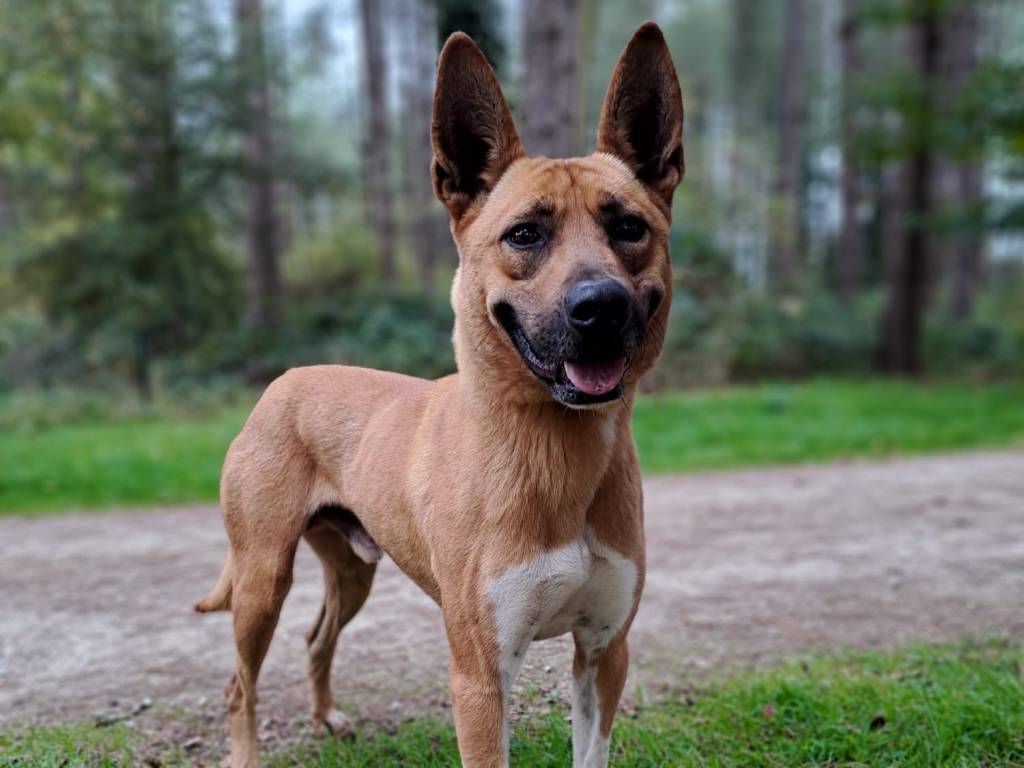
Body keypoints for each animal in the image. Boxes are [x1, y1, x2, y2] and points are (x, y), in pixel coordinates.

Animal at [196, 21, 683, 768]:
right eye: (524, 234)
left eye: (629, 227)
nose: (600, 306)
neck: (553, 451)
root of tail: (285, 380)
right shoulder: (481, 675)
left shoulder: (604, 653)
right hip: (260, 579)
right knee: (236, 683)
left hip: (351, 570)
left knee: (316, 637)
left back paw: (326, 716)